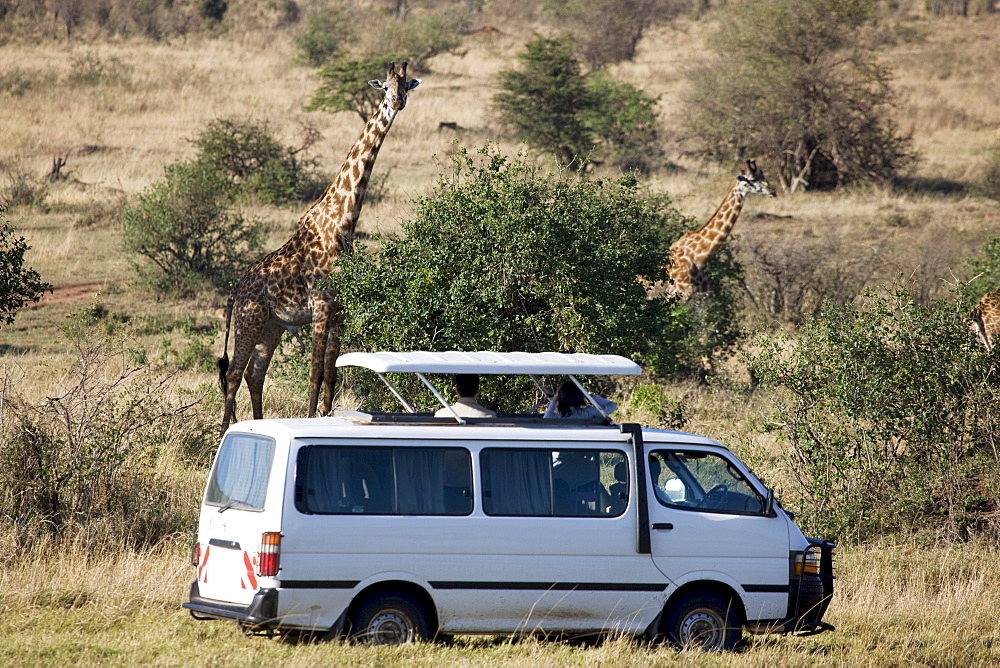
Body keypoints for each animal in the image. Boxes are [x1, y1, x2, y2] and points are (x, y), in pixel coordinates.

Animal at [217, 64, 420, 434]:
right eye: (384, 88)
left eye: (406, 86)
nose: (398, 103)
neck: (343, 221)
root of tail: (235, 290)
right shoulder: (322, 304)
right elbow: (314, 374)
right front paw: (311, 419)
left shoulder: (340, 309)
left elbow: (331, 374)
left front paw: (325, 415)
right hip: (249, 320)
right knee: (235, 374)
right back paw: (223, 433)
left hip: (272, 326)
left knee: (255, 374)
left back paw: (257, 423)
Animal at [668, 159, 776, 298]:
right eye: (753, 179)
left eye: (763, 175)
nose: (773, 191)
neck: (699, 258)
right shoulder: (680, 293)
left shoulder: (703, 296)